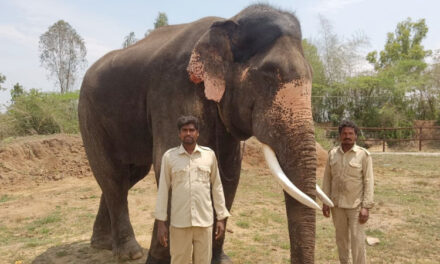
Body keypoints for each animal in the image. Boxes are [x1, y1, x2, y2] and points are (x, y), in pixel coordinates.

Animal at [79, 4, 332, 264]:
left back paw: (102, 244)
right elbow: (164, 163)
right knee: (113, 176)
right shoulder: (173, 88)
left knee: (129, 175)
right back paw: (130, 253)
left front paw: (220, 260)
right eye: (268, 75)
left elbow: (228, 175)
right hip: (89, 115)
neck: (228, 22)